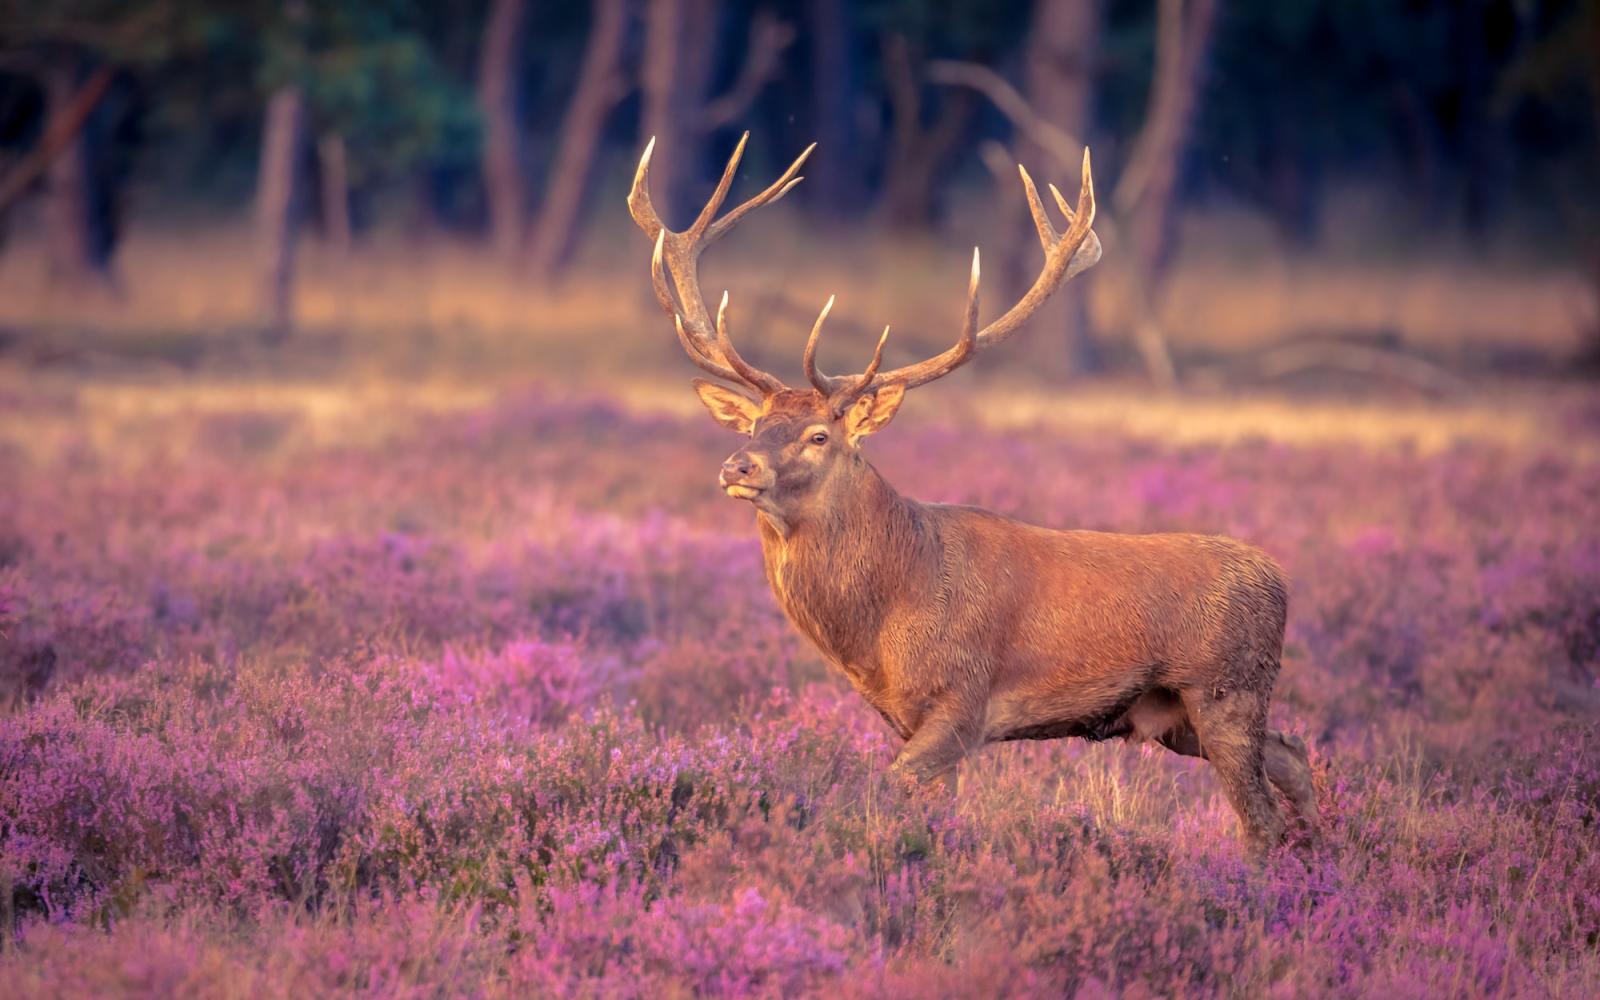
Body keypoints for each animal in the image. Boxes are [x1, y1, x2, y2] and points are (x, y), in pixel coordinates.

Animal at [628, 133, 1317, 853]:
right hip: (1179, 717)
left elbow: (885, 790)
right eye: (756, 425)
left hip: (1225, 690)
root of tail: (1279, 578)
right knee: (1295, 756)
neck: (883, 624)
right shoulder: (906, 716)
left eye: (819, 435)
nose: (738, 466)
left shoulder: (963, 702)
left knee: (1261, 818)